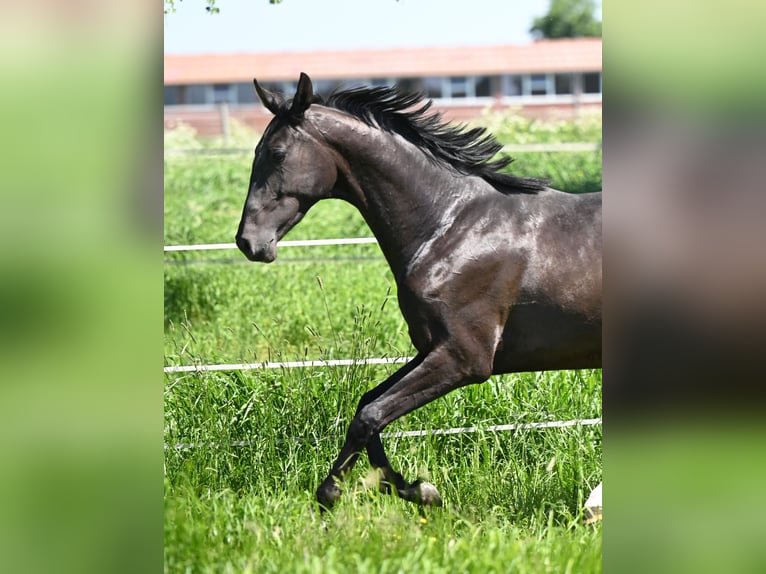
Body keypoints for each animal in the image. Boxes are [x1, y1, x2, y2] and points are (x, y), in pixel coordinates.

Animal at [237, 73, 604, 512]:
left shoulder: (464, 359)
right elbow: (367, 404)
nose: (248, 242)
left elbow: (370, 415)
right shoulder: (432, 347)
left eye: (276, 153)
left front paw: (332, 494)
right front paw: (414, 489)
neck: (449, 226)